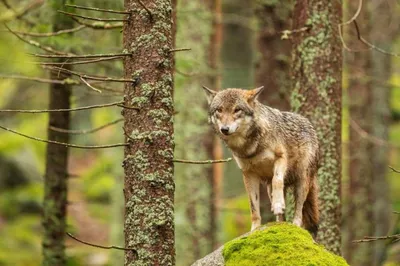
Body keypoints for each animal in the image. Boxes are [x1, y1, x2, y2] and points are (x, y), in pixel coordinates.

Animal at [202, 85, 320, 235]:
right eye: (219, 110)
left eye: (237, 110)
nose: (225, 129)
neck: (250, 148)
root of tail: (309, 124)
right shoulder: (248, 174)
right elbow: (253, 207)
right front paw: (255, 229)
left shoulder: (281, 158)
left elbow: (277, 180)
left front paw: (278, 205)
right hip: (270, 189)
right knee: (281, 215)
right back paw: (279, 225)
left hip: (302, 182)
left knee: (299, 211)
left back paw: (294, 226)